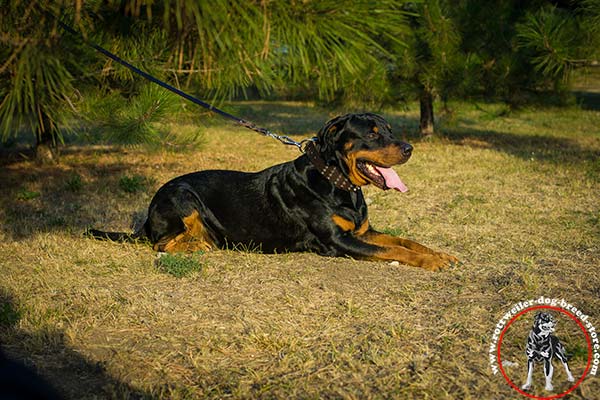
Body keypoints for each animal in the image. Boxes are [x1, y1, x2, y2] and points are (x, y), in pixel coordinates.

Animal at [86, 111, 458, 272]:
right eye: (373, 133)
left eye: (391, 130)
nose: (409, 148)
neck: (336, 181)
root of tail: (146, 218)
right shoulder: (339, 242)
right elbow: (395, 250)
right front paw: (431, 262)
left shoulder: (362, 231)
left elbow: (404, 241)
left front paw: (440, 254)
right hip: (182, 195)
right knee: (162, 244)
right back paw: (197, 246)